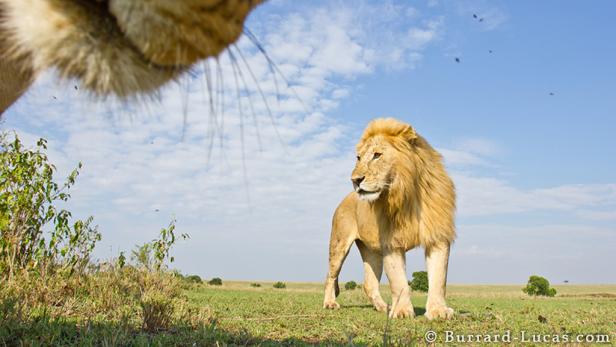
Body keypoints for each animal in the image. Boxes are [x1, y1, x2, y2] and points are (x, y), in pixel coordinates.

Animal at [324, 119, 454, 320]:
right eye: (359, 158)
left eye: (377, 155)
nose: (355, 180)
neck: (406, 195)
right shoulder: (391, 243)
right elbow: (398, 281)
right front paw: (401, 311)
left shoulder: (437, 236)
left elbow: (439, 278)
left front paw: (438, 311)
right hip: (339, 244)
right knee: (330, 276)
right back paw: (329, 303)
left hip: (372, 251)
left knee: (369, 284)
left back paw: (382, 307)